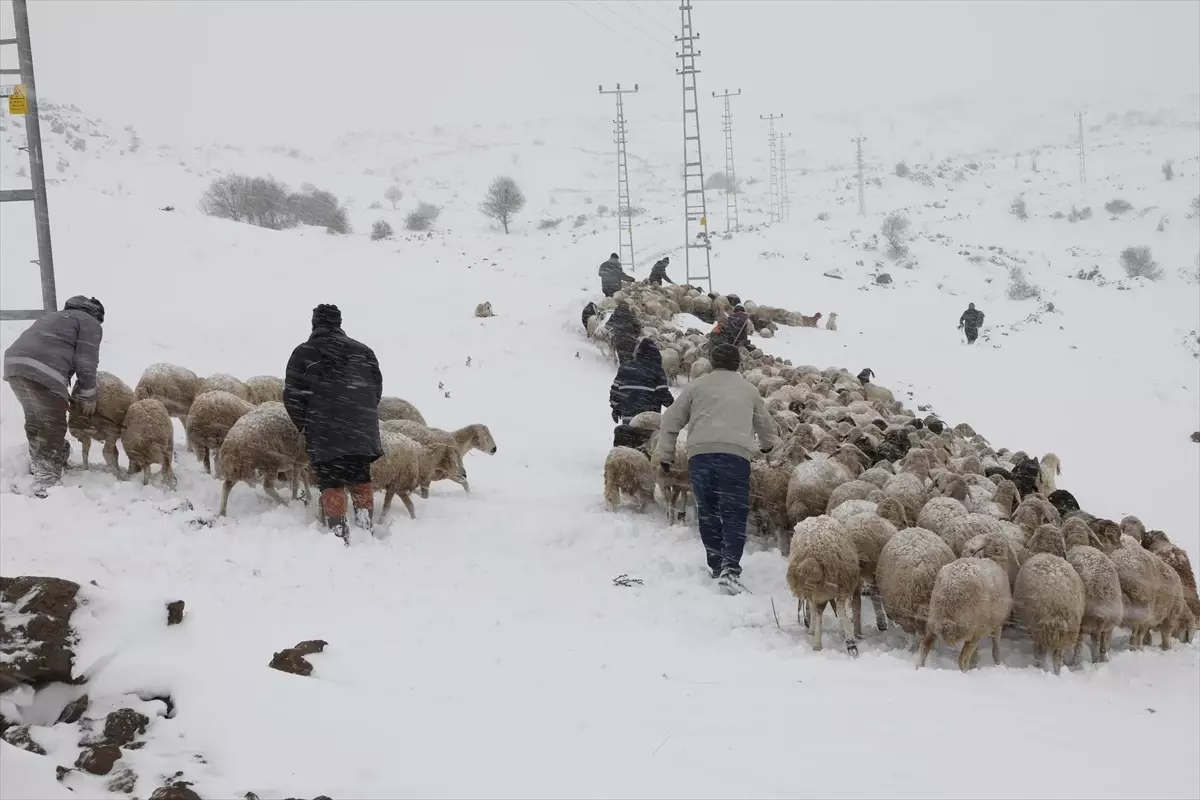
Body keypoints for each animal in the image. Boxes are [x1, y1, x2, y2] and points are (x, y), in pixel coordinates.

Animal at [787, 515, 864, 652]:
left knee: (823, 610)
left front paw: (812, 630)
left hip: (827, 585)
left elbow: (812, 608)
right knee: (838, 607)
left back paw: (819, 644)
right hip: (842, 580)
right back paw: (849, 641)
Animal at [1012, 525, 1089, 676]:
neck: (1047, 550)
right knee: (1058, 657)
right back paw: (1057, 673)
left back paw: (1041, 668)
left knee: (1041, 652)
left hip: (1040, 628)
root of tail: (1058, 604)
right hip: (1065, 632)